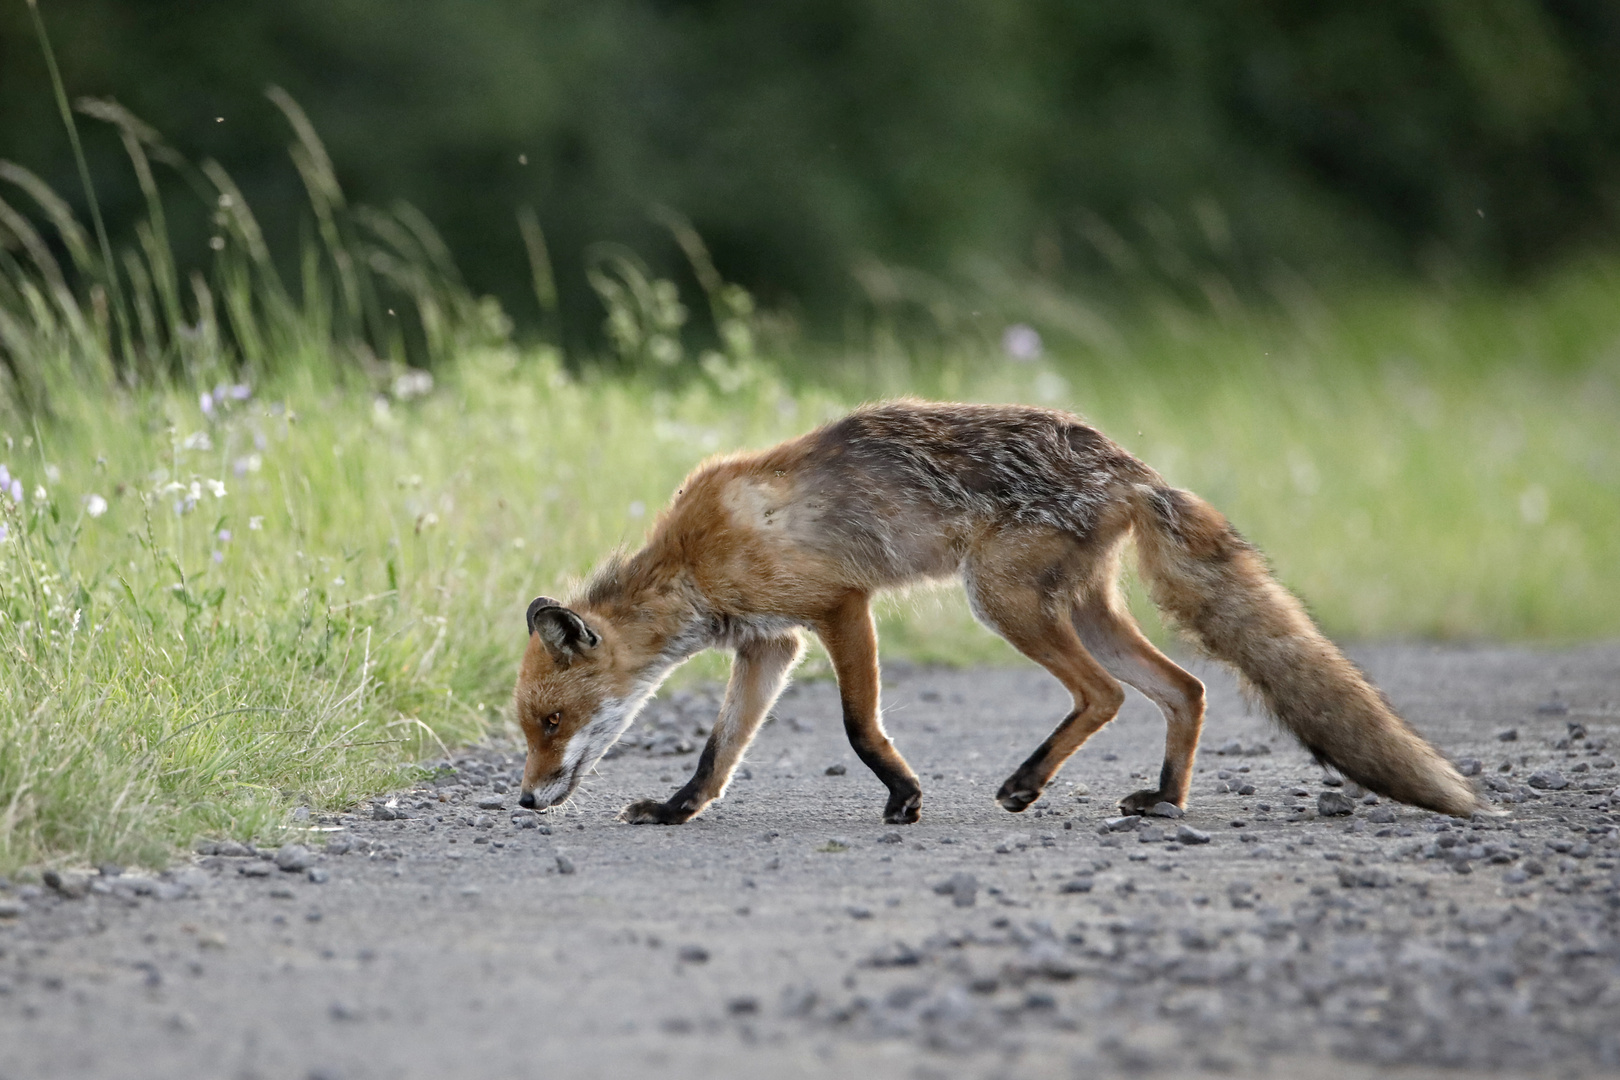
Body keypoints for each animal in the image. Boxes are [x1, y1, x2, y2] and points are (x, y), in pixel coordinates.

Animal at [508, 399, 1483, 829]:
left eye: (551, 723)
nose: (522, 797)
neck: (692, 560)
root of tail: (1127, 463)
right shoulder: (770, 646)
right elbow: (719, 751)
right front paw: (678, 809)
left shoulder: (839, 606)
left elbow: (859, 725)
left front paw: (903, 796)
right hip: (1082, 610)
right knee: (1187, 689)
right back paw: (1165, 800)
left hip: (1004, 601)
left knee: (1107, 697)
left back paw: (1027, 782)